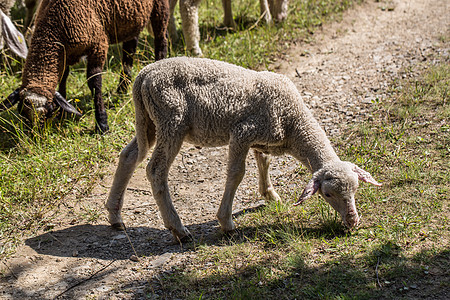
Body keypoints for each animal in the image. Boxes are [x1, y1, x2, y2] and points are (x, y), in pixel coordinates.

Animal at [0, 0, 170, 132]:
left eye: (48, 112)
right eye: (21, 111)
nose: (35, 136)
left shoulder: (98, 45)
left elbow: (94, 83)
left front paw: (102, 124)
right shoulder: (65, 54)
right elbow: (63, 78)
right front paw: (62, 113)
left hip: (160, 8)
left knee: (161, 41)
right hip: (132, 18)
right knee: (129, 50)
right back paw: (122, 89)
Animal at [106, 56, 384, 241]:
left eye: (356, 189)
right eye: (327, 194)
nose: (353, 221)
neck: (294, 123)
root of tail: (144, 74)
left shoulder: (260, 138)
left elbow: (264, 161)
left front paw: (269, 194)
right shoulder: (242, 132)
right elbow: (236, 174)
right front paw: (226, 222)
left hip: (149, 120)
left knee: (130, 156)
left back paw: (115, 216)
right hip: (171, 120)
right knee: (155, 170)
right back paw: (178, 229)